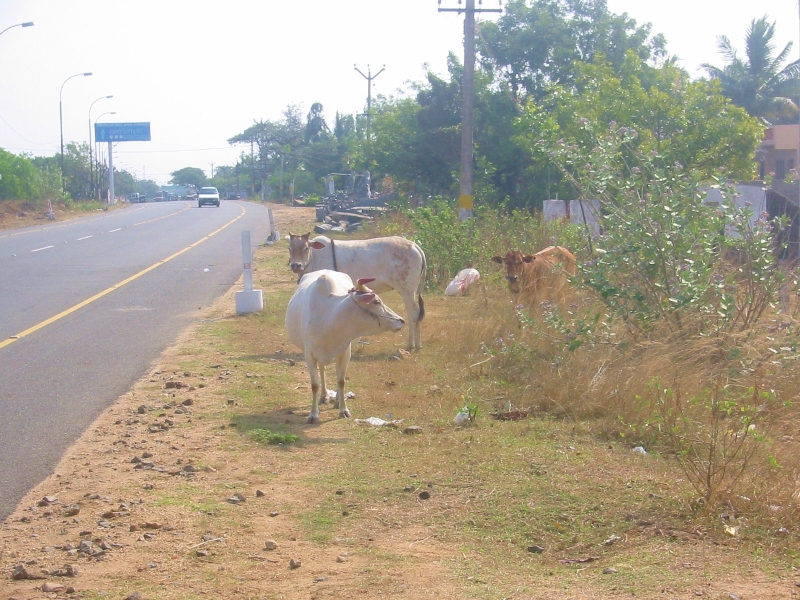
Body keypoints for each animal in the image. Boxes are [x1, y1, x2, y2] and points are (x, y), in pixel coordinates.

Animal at [284, 270, 404, 424]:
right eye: (376, 301)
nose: (401, 320)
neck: (329, 319)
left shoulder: (345, 353)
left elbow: (341, 381)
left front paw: (343, 410)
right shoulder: (309, 355)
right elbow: (315, 385)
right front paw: (313, 414)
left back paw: (335, 400)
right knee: (322, 370)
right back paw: (324, 396)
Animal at [286, 232, 424, 350]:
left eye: (306, 248)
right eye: (290, 248)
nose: (296, 265)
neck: (314, 257)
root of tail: (414, 245)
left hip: (407, 290)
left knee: (414, 313)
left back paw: (412, 345)